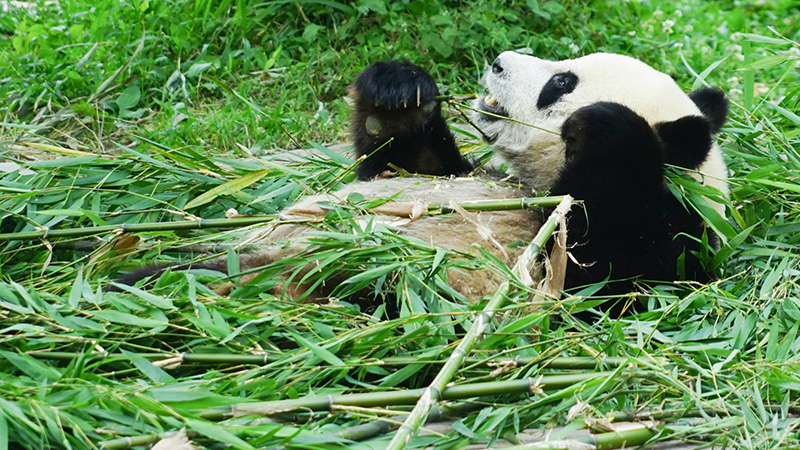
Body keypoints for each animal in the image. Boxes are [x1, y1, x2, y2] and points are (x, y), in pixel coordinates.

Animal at [116, 51, 729, 313]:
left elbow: (616, 278)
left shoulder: (669, 242)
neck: (538, 180)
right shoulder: (453, 175)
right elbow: (405, 167)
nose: (498, 61)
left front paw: (607, 128)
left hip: (372, 288)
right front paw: (398, 87)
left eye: (561, 81)